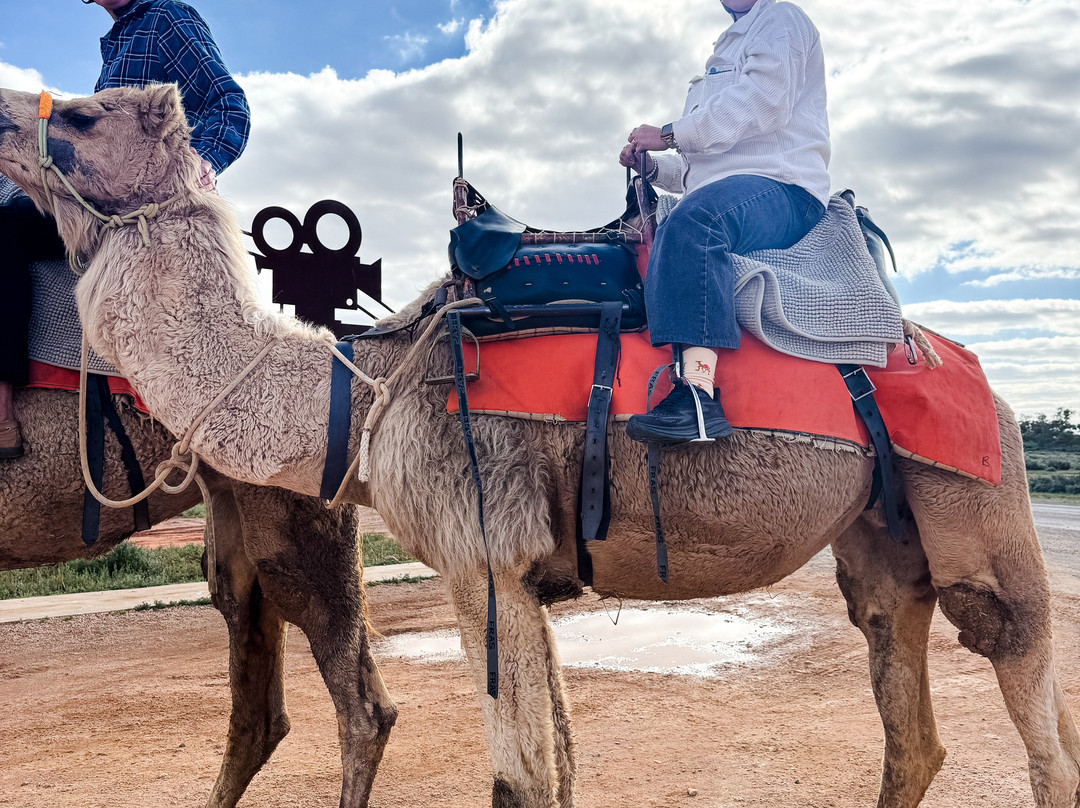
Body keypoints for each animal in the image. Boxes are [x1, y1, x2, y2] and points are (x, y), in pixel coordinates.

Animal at [1, 83, 1078, 808]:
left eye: (84, 115)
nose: (9, 117)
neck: (367, 387)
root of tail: (971, 371)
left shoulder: (483, 556)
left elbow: (519, 779)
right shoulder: (525, 572)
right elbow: (555, 761)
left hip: (979, 498)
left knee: (1029, 692)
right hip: (882, 538)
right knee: (911, 719)